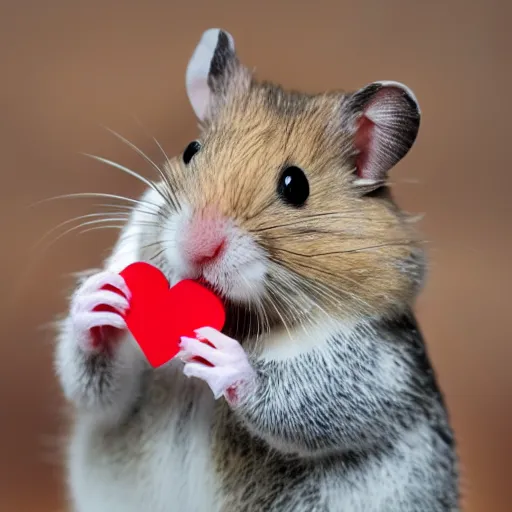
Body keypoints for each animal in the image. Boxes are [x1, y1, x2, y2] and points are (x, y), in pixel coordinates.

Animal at [55, 27, 460, 512]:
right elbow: (98, 386)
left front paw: (221, 356)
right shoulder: (119, 393)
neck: (240, 313)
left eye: (295, 185)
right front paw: (101, 299)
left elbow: (307, 397)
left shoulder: (374, 368)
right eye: (191, 151)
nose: (199, 246)